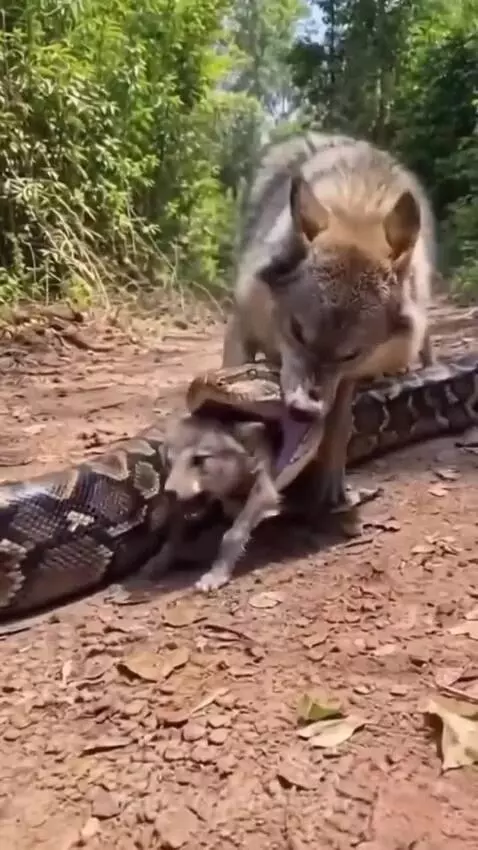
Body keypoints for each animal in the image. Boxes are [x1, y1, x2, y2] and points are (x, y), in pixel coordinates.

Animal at [222, 131, 437, 510]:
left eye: (350, 354)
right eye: (297, 332)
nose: (304, 410)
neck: (356, 207)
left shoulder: (346, 376)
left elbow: (339, 427)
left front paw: (332, 489)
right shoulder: (242, 329)